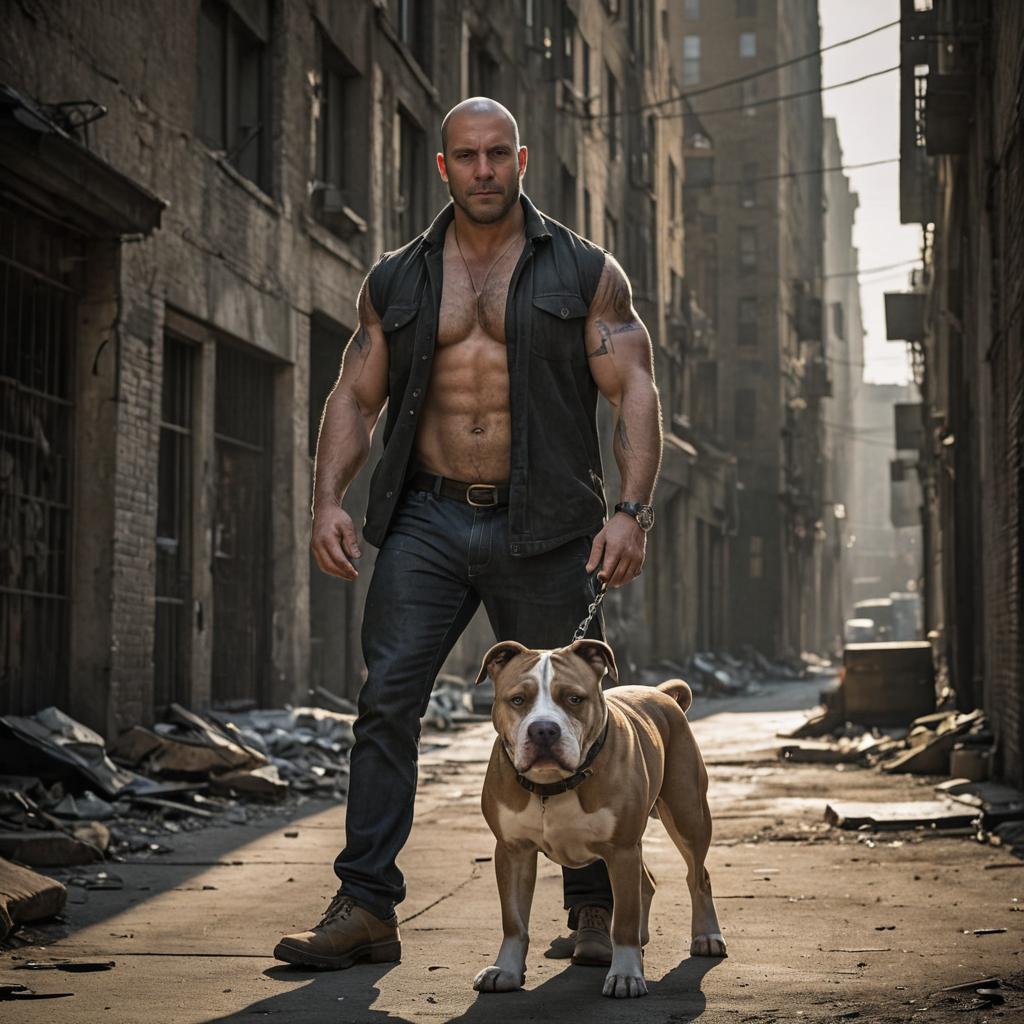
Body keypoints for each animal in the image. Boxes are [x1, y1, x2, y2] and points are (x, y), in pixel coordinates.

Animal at [473, 634, 729, 995]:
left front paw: (625, 975)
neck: (553, 785)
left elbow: (623, 919)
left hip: (688, 814)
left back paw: (706, 936)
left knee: (698, 876)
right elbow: (514, 920)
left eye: (574, 699)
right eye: (518, 700)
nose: (543, 730)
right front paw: (506, 970)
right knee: (647, 882)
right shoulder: (512, 851)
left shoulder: (621, 850)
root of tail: (662, 693)